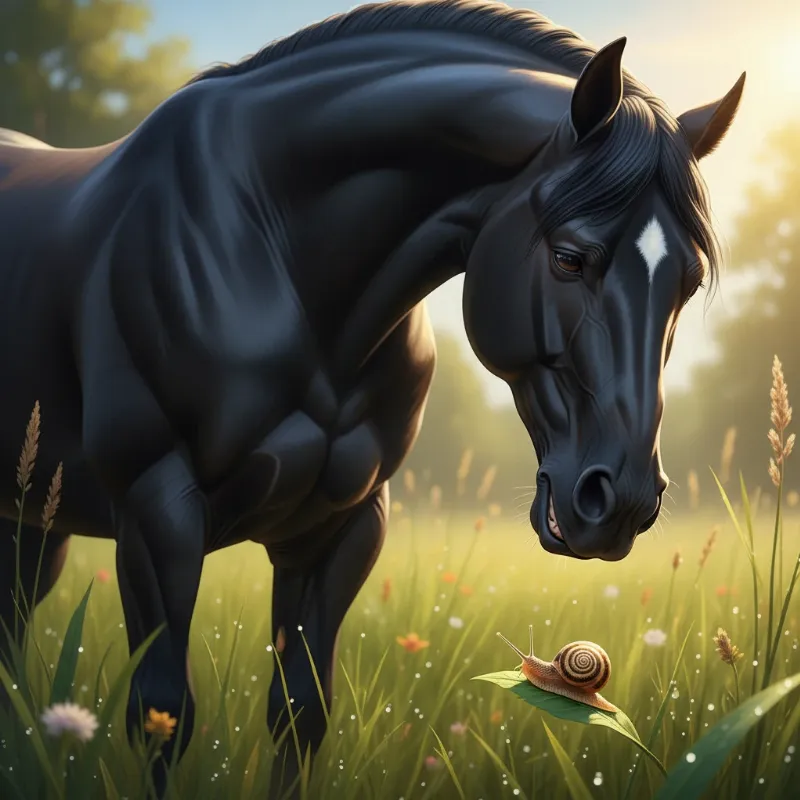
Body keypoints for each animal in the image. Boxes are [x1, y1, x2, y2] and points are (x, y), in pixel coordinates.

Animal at [0, 0, 743, 793]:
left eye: (688, 281)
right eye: (570, 258)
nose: (621, 501)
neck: (275, 250)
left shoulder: (341, 528)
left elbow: (300, 710)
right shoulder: (156, 512)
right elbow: (162, 714)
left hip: (35, 523)